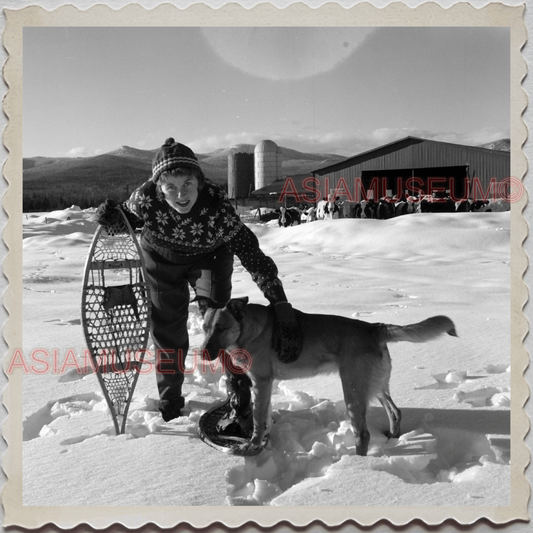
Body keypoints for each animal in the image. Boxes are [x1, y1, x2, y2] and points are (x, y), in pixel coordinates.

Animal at [202, 298, 456, 456]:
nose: (203, 352)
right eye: (205, 328)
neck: (248, 330)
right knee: (395, 411)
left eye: (221, 328)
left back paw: (355, 465)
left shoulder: (261, 382)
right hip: (375, 386)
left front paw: (252, 445)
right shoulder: (265, 384)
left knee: (363, 434)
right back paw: (393, 438)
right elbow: (263, 417)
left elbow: (257, 418)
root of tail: (374, 327)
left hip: (353, 392)